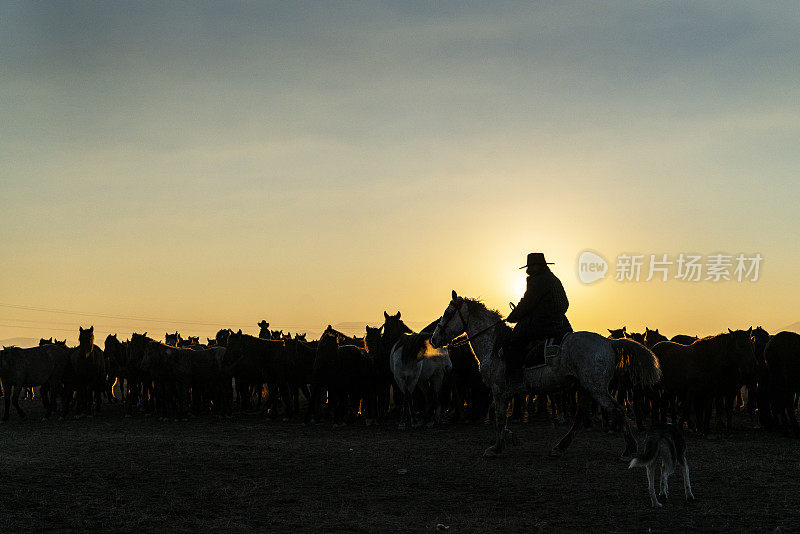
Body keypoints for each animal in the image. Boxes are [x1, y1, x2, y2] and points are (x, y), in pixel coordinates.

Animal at [432, 292, 664, 462]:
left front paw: (496, 448)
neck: (494, 344)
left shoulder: (498, 390)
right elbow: (498, 417)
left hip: (596, 388)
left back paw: (629, 450)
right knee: (580, 418)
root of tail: (609, 342)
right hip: (586, 388)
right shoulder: (502, 393)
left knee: (617, 410)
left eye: (448, 312)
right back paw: (560, 447)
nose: (434, 339)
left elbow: (498, 417)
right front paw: (508, 439)